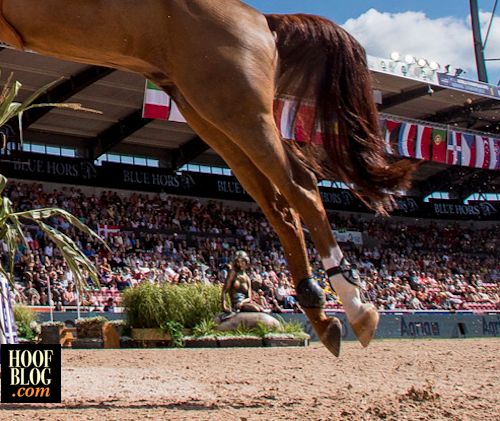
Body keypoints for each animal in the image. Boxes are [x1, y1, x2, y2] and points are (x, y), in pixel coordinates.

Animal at [0, 0, 414, 354]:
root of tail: (264, 21)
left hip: (236, 109)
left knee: (301, 186)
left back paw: (353, 304)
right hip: (207, 113)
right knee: (278, 205)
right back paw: (319, 310)